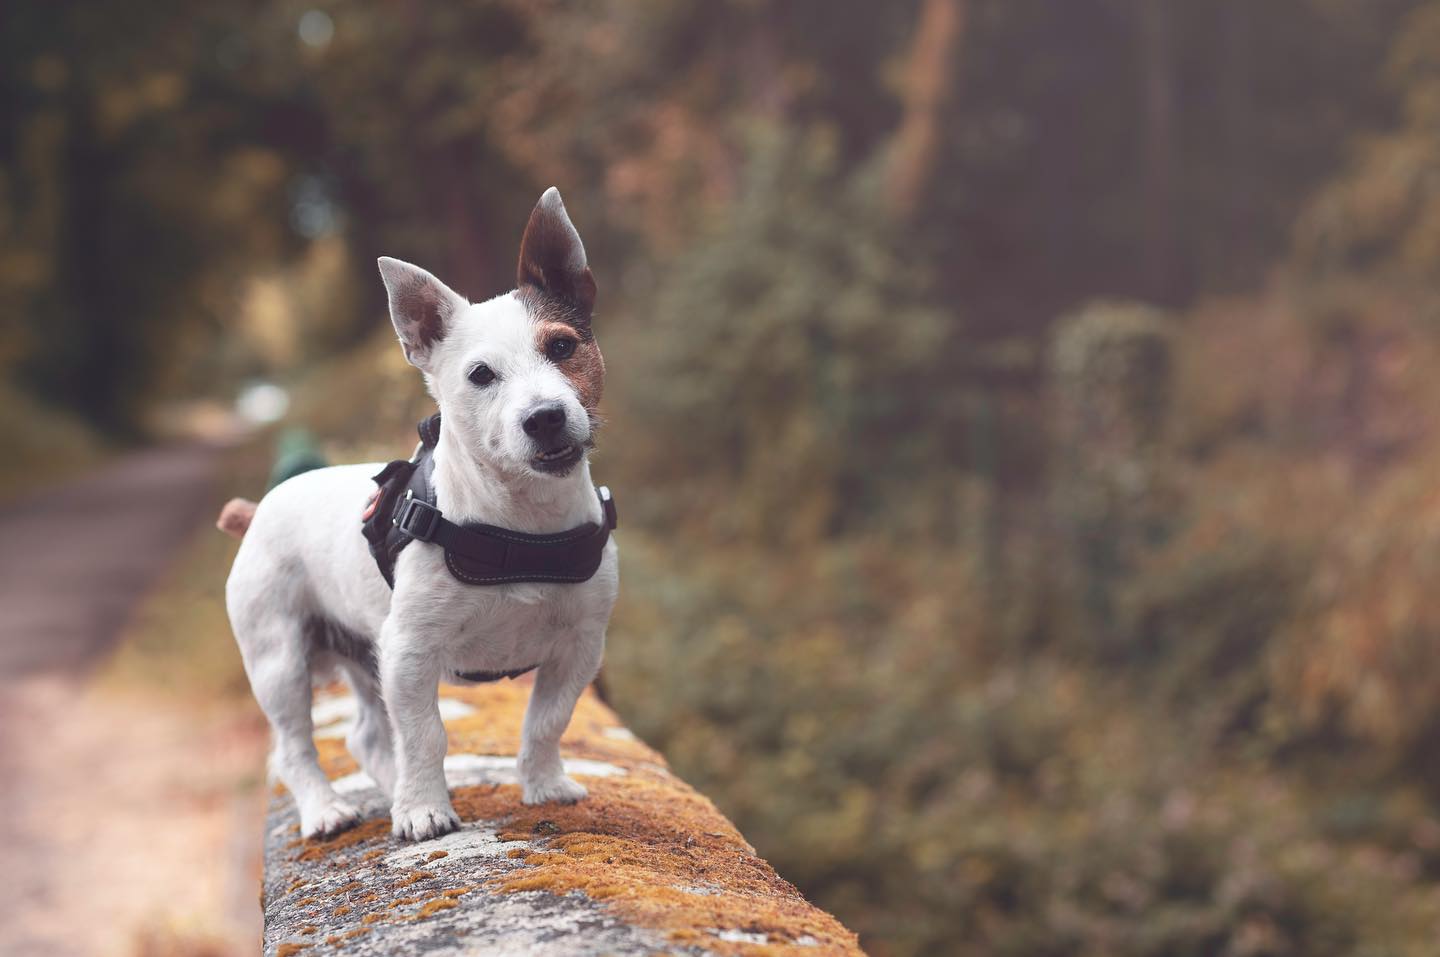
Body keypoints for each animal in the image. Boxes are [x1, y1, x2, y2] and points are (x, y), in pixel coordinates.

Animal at [221, 189, 616, 840]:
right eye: (480, 375)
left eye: (561, 346)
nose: (545, 418)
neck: (518, 525)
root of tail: (258, 510)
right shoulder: (409, 651)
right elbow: (425, 735)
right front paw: (424, 810)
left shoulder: (578, 647)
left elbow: (546, 721)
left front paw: (543, 784)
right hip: (278, 659)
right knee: (295, 746)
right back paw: (326, 809)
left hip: (362, 655)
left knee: (365, 737)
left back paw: (388, 790)